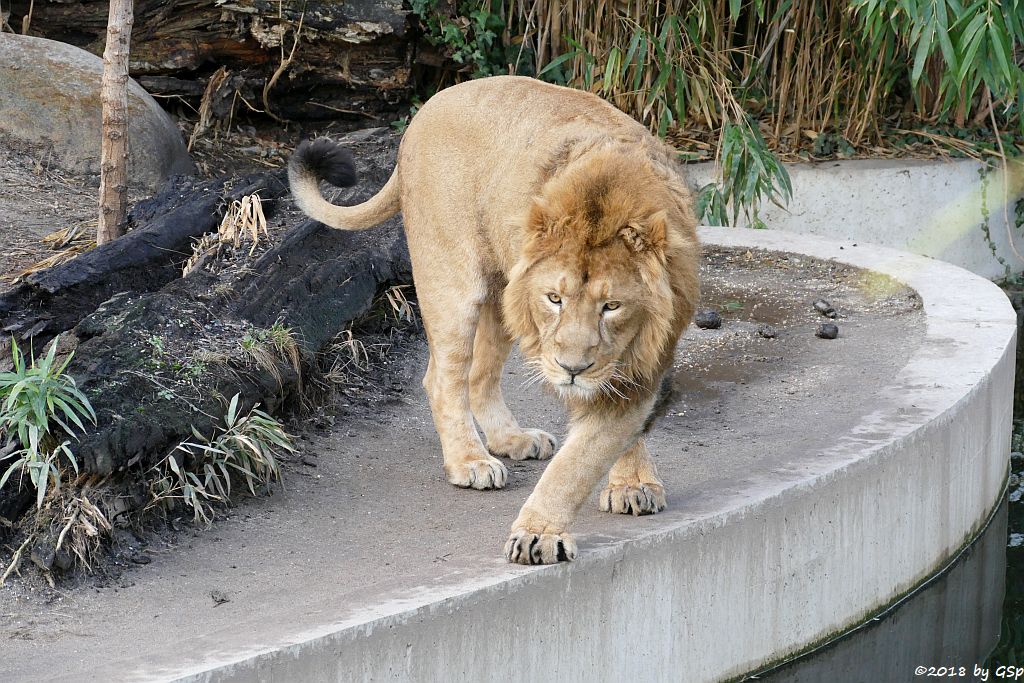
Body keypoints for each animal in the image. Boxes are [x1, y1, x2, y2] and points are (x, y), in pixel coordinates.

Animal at [290, 74, 704, 565]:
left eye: (612, 306)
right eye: (555, 299)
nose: (571, 369)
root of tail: (425, 111)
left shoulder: (647, 355)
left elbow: (603, 440)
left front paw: (633, 483)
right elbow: (577, 461)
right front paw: (538, 535)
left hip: (504, 294)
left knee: (480, 374)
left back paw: (511, 439)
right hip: (452, 283)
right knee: (443, 377)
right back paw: (470, 461)